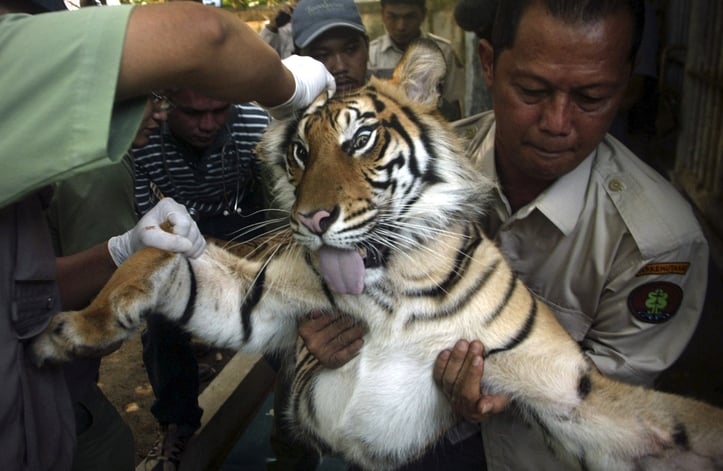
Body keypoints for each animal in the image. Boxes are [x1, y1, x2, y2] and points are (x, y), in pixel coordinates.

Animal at [28, 41, 723, 471]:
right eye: (300, 152)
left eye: (360, 139)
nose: (311, 220)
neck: (391, 282)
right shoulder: (260, 299)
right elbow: (155, 257)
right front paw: (73, 330)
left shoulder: (567, 391)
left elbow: (673, 427)